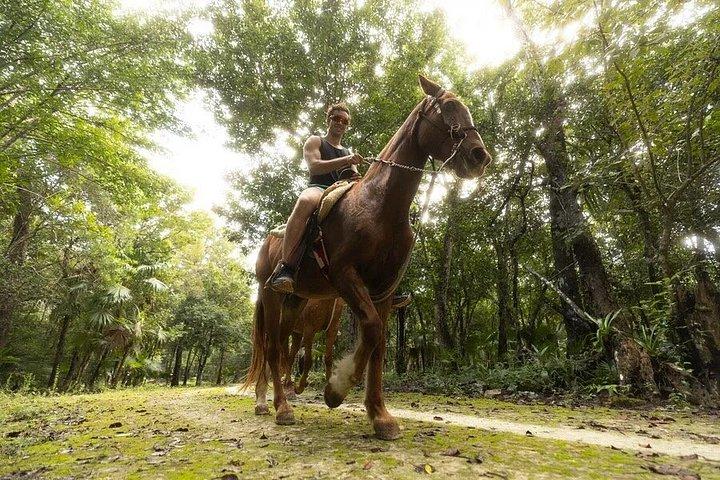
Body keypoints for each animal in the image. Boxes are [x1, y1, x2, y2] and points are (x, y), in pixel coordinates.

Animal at [244, 75, 492, 440]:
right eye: (447, 108)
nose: (479, 156)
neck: (379, 207)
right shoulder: (346, 277)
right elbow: (372, 330)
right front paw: (337, 390)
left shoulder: (385, 289)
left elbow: (380, 344)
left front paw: (380, 416)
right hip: (270, 294)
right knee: (273, 348)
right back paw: (281, 408)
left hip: (295, 301)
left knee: (284, 346)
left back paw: (277, 400)